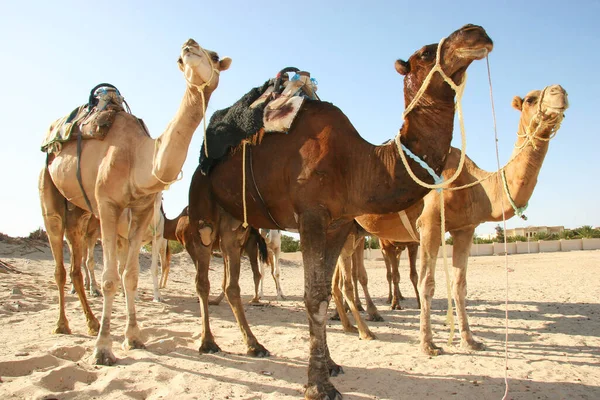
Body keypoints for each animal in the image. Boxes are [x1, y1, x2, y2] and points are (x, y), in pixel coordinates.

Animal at [37, 39, 230, 368]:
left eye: (215, 56)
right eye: (183, 57)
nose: (189, 44)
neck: (140, 160)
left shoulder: (141, 212)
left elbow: (131, 276)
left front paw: (134, 337)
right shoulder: (108, 205)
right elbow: (110, 279)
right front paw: (103, 349)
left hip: (80, 213)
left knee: (75, 264)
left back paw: (90, 323)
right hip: (49, 192)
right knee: (59, 262)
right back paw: (63, 325)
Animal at [186, 25, 492, 400]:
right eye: (424, 52)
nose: (475, 33)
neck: (359, 162)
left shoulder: (340, 223)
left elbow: (323, 293)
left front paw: (330, 365)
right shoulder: (311, 218)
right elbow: (313, 298)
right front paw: (319, 384)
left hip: (236, 225)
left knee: (231, 284)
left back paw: (254, 345)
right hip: (203, 210)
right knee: (202, 278)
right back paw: (207, 342)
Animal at [354, 83, 568, 354]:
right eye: (530, 99)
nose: (559, 92)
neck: (474, 183)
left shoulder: (465, 228)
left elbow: (460, 284)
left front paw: (470, 339)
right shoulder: (429, 224)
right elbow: (426, 283)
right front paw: (428, 344)